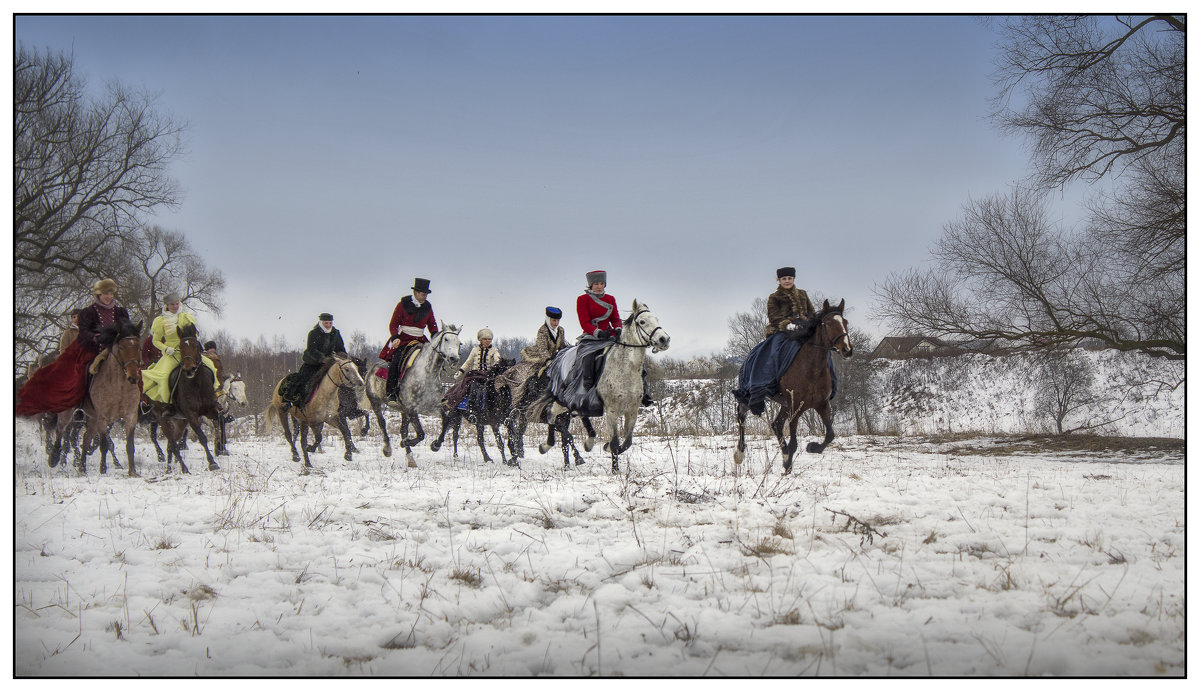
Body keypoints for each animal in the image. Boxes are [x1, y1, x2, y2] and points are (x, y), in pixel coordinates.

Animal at [152, 321, 223, 470]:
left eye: (196, 345)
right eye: (180, 347)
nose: (189, 369)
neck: (197, 384)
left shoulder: (211, 409)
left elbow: (219, 422)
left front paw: (219, 448)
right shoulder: (191, 415)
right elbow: (202, 437)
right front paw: (212, 462)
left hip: (180, 421)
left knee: (172, 443)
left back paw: (170, 468)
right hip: (164, 420)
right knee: (172, 443)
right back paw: (183, 469)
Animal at [360, 326, 458, 467]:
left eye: (459, 343)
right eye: (446, 339)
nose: (454, 358)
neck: (427, 375)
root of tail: (372, 368)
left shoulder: (433, 407)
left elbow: (446, 421)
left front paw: (435, 445)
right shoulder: (412, 409)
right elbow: (421, 434)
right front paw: (405, 442)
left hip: (402, 409)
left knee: (402, 430)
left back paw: (410, 458)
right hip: (375, 401)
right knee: (382, 422)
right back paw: (387, 449)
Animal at [530, 299, 672, 472]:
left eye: (656, 319)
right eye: (642, 322)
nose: (664, 339)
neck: (626, 368)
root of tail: (558, 357)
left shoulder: (632, 410)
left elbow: (627, 442)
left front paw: (607, 448)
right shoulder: (611, 411)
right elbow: (615, 441)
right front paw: (615, 469)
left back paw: (581, 445)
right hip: (562, 400)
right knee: (551, 414)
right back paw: (548, 446)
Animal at [729, 299, 854, 472]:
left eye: (845, 322)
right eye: (828, 323)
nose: (847, 350)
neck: (812, 369)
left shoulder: (822, 404)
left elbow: (830, 435)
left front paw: (812, 447)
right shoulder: (795, 407)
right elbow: (794, 442)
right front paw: (788, 464)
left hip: (785, 404)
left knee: (776, 424)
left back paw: (784, 454)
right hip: (753, 396)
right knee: (741, 414)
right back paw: (740, 453)